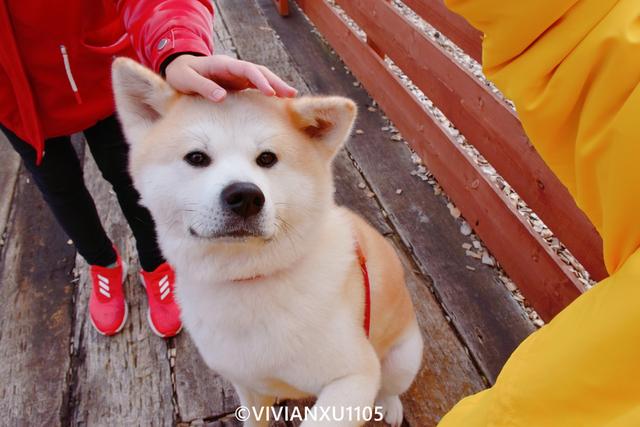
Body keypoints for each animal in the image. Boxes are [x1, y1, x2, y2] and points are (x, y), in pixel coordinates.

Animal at [112, 57, 422, 427]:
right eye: (197, 157)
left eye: (267, 158)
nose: (245, 196)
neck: (247, 280)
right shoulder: (247, 384)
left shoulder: (354, 376)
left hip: (401, 359)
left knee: (390, 387)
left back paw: (391, 406)